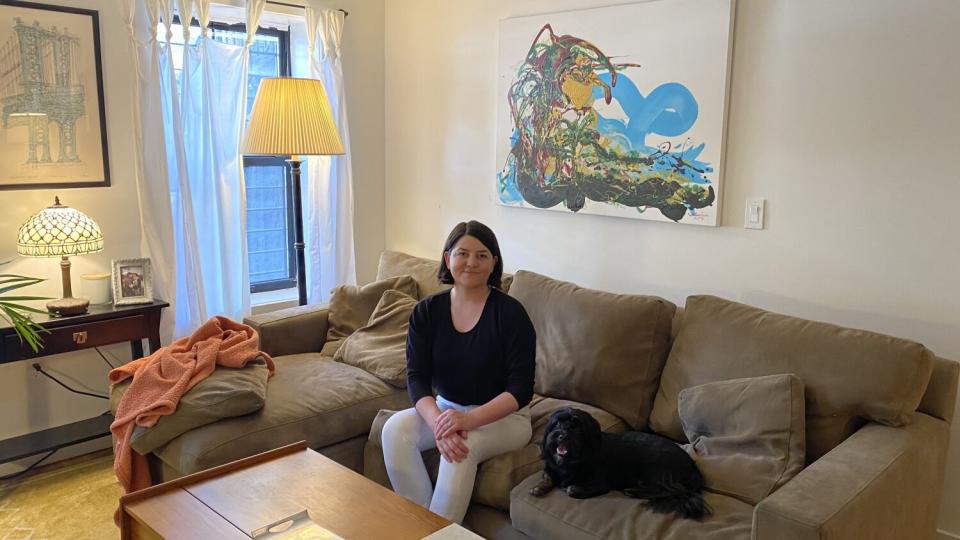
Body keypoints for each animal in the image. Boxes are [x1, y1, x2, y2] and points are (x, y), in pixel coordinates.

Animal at [528, 404, 708, 520]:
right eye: (556, 423)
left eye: (577, 427)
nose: (562, 435)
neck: (570, 461)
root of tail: (692, 467)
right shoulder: (551, 468)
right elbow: (547, 476)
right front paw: (539, 487)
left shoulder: (601, 483)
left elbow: (572, 489)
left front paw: (572, 487)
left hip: (655, 467)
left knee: (672, 490)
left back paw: (634, 491)